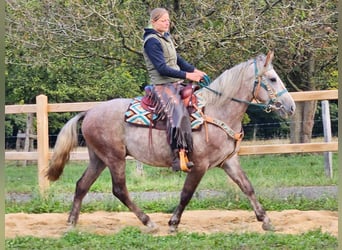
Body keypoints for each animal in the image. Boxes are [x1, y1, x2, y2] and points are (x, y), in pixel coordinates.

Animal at [46, 50, 296, 232]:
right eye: (272, 78)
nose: (291, 107)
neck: (216, 110)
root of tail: (89, 112)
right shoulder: (200, 165)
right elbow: (186, 194)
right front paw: (173, 223)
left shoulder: (229, 161)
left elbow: (247, 187)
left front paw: (266, 220)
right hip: (114, 158)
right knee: (119, 190)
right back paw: (148, 222)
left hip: (98, 158)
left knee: (82, 185)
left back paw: (71, 223)